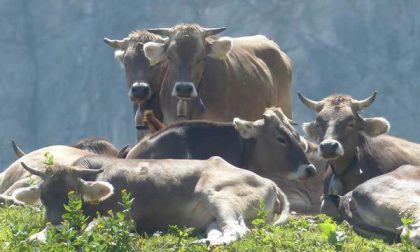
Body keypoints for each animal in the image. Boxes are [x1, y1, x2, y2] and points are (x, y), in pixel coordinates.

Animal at [12, 157, 288, 245]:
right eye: (44, 198)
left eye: (74, 198)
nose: (58, 225)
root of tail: (270, 182)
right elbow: (34, 236)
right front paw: (36, 237)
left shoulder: (123, 219)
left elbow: (90, 230)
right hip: (210, 217)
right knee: (218, 230)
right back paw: (203, 241)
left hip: (220, 196)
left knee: (236, 230)